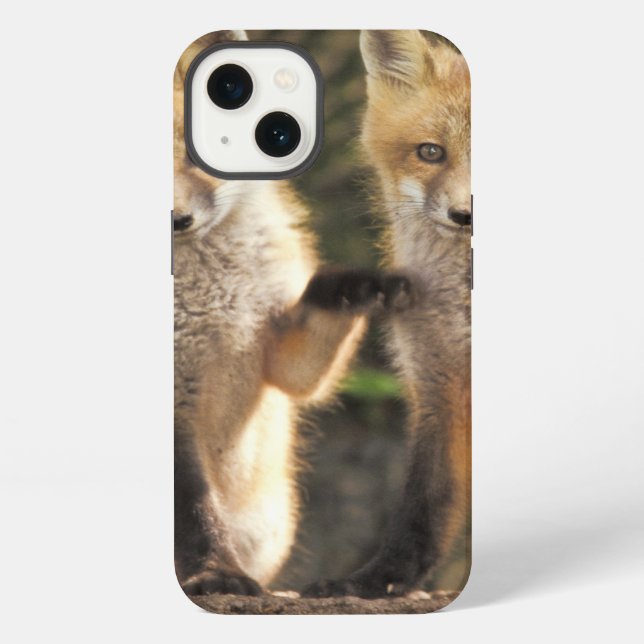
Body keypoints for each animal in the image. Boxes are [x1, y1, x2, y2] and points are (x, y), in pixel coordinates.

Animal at [173, 30, 412, 596]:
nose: (177, 221)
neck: (213, 293)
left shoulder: (277, 355)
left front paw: (356, 286)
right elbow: (196, 511)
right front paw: (216, 572)